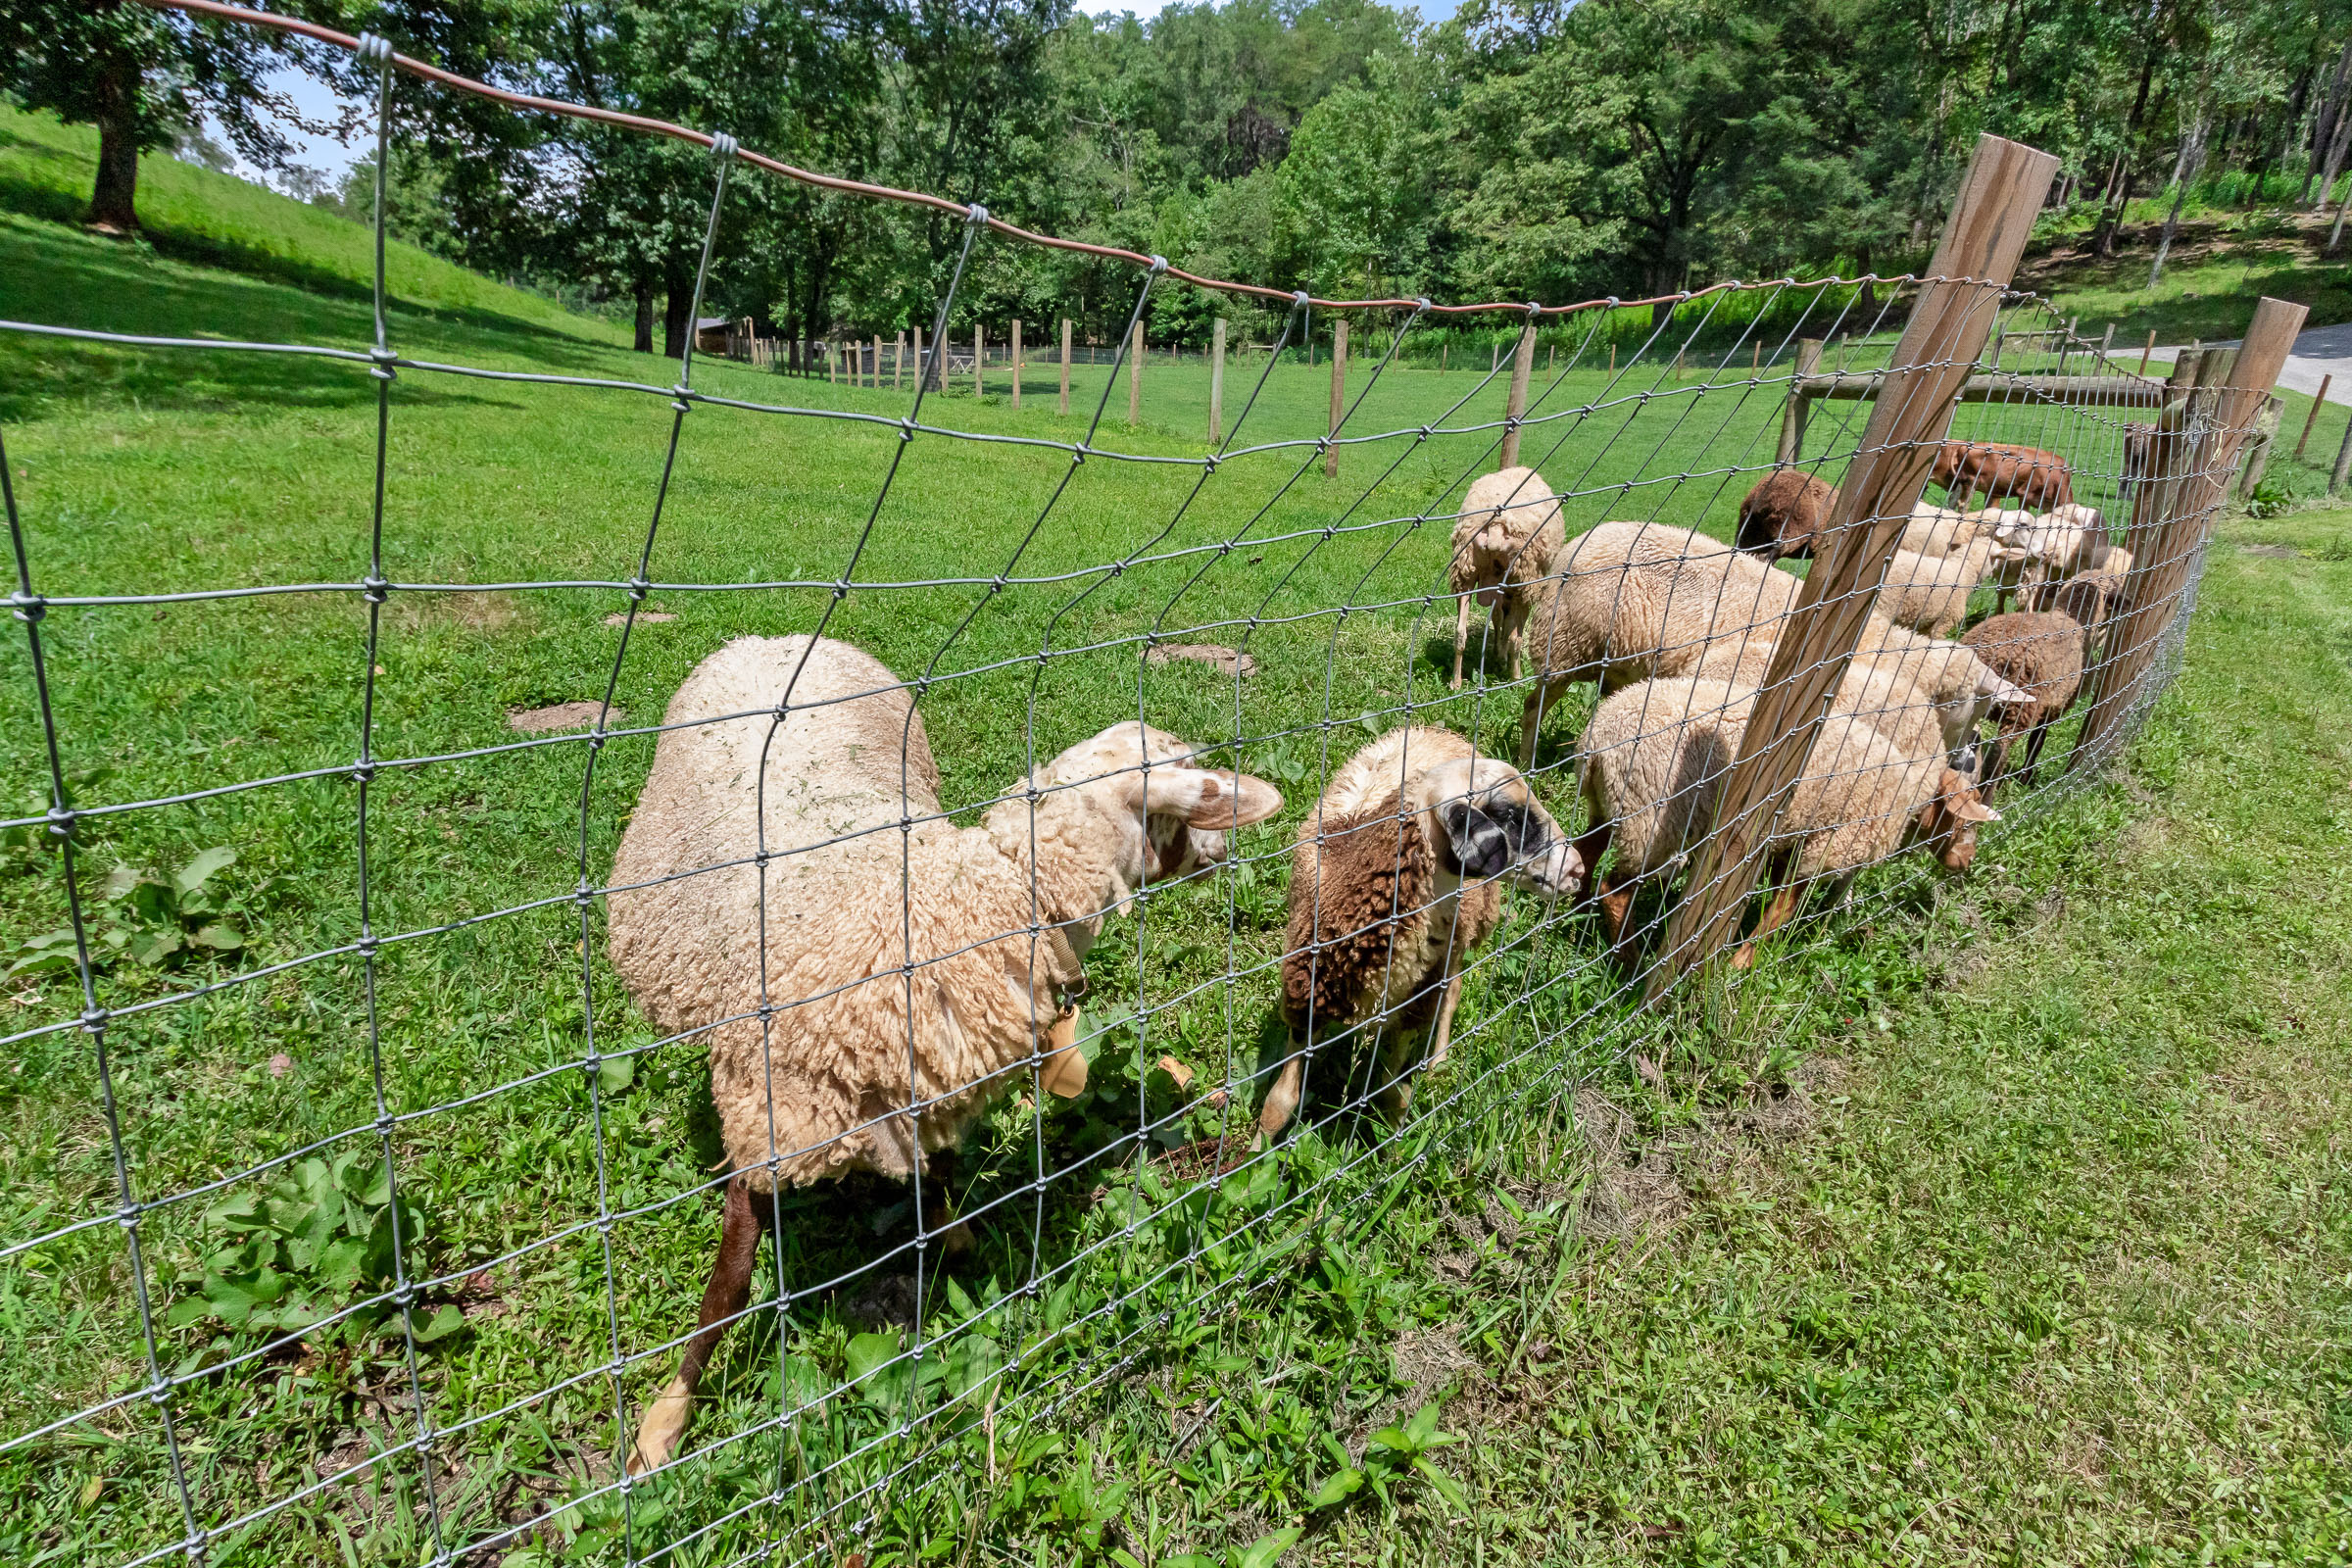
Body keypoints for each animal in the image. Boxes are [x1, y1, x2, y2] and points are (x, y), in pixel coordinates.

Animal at [608, 635, 1282, 1474]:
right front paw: (666, 1420)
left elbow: (937, 1168)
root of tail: (771, 637)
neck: (969, 908)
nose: (1230, 843)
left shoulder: (923, 1078)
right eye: (1192, 781)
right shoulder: (767, 1116)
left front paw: (954, 1233)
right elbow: (727, 1287)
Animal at [1262, 726, 1578, 1139]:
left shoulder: (1417, 1000)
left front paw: (1395, 1142)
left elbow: (1391, 1092)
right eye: (1510, 815)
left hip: (1460, 938)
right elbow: (1279, 1104)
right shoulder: (1307, 993)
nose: (1578, 870)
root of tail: (1434, 729)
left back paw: (1438, 1064)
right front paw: (1253, 1152)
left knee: (1453, 991)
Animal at [1448, 466, 1565, 688]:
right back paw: (1516, 678)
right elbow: (1510, 628)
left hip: (1465, 571)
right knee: (1516, 639)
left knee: (1460, 632)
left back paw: (1456, 682)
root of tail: (1496, 527)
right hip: (1524, 579)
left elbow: (1497, 616)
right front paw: (1504, 660)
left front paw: (1498, 655)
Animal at [1574, 678, 1997, 966]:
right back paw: (1629, 961)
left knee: (1585, 851)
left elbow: (1779, 901)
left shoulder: (1793, 839)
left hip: (1611, 806)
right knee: (1615, 891)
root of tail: (1596, 741)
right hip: (1653, 822)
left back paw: (1579, 908)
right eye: (1966, 824)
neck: (1908, 793)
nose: (1965, 863)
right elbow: (1783, 912)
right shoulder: (1827, 846)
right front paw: (1740, 963)